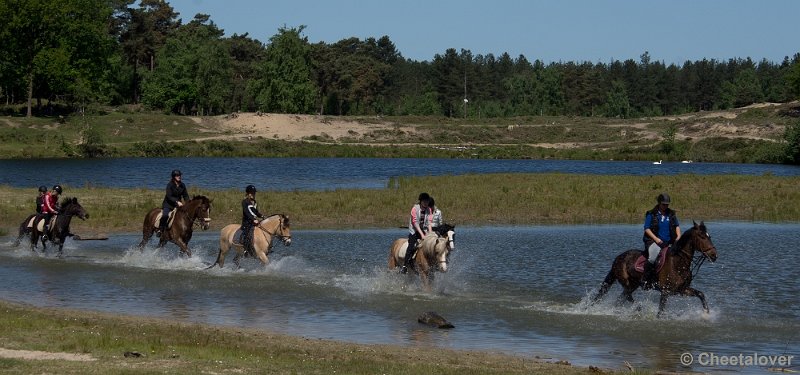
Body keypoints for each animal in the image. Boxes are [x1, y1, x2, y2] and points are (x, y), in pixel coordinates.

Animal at [592, 222, 720, 318]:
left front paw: (706, 314)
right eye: (702, 237)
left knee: (621, 299)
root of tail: (618, 258)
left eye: (709, 236)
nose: (714, 255)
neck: (678, 263)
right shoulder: (665, 292)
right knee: (627, 296)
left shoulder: (682, 290)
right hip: (627, 283)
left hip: (633, 284)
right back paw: (639, 308)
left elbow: (700, 294)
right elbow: (660, 311)